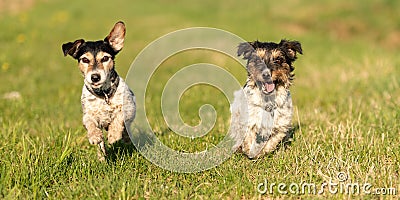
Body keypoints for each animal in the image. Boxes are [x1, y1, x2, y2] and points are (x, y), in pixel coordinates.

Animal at [62, 21, 136, 160]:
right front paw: (95, 136)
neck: (103, 95)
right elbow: (90, 123)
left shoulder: (129, 108)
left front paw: (113, 135)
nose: (95, 77)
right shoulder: (88, 114)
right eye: (85, 60)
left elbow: (119, 116)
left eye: (105, 58)